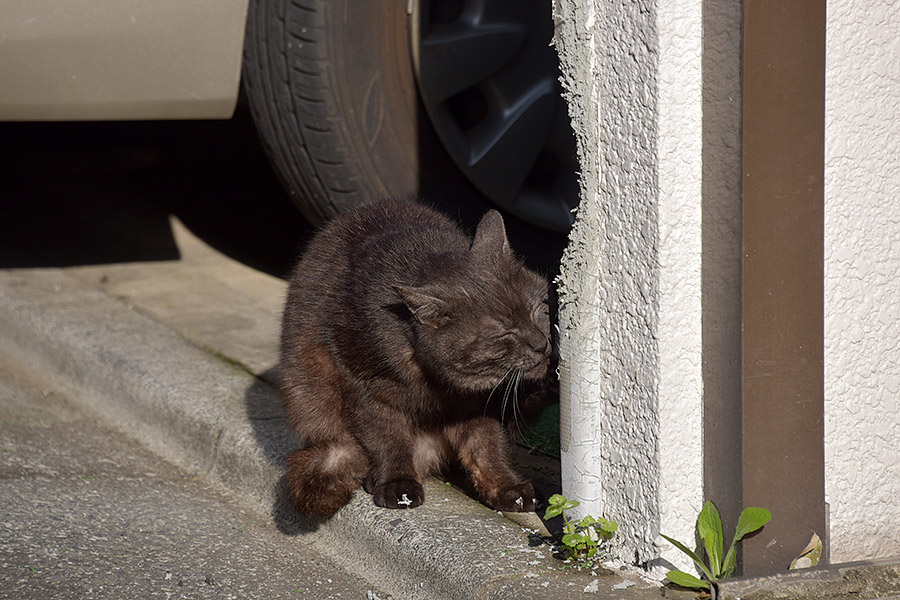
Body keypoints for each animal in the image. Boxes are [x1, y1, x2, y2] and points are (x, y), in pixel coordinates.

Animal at [278, 198, 552, 516]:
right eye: (505, 333)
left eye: (538, 309)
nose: (541, 344)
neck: (443, 386)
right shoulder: (369, 393)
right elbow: (388, 441)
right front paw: (397, 485)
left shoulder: (477, 405)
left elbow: (487, 448)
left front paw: (508, 488)